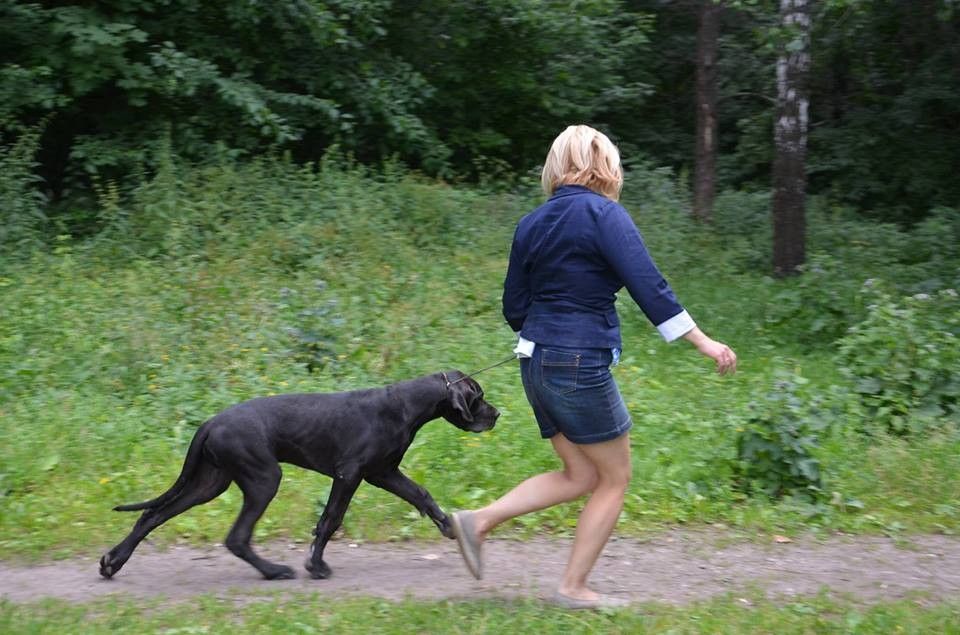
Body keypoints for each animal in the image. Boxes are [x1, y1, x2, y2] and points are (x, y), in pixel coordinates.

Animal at [99, 370, 499, 581]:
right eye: (478, 396)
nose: (497, 414)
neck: (403, 406)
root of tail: (211, 422)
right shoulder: (350, 474)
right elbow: (331, 519)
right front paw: (316, 564)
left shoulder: (382, 472)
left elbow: (421, 493)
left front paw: (448, 525)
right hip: (263, 478)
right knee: (236, 537)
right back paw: (274, 570)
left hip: (210, 482)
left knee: (152, 515)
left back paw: (113, 562)